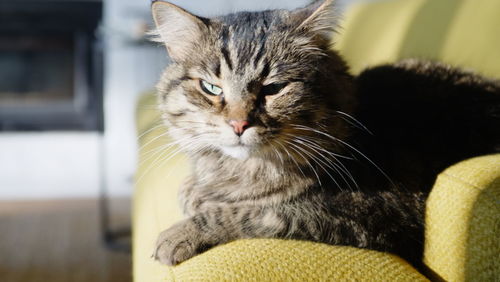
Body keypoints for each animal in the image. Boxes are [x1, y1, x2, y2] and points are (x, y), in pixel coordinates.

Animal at [149, 0, 500, 268]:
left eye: (274, 88)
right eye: (211, 88)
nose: (238, 125)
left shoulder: (378, 209)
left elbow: (258, 212)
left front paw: (178, 234)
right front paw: (194, 192)